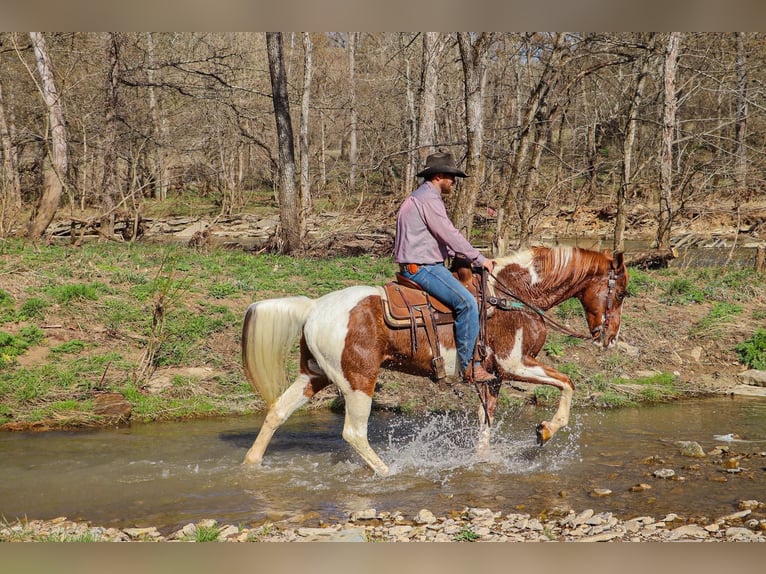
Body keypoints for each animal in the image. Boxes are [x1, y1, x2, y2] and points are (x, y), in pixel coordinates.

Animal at [242, 248, 632, 476]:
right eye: (622, 293)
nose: (609, 338)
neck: (515, 296)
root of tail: (313, 307)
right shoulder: (516, 364)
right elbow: (568, 383)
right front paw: (546, 430)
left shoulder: (492, 377)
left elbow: (485, 425)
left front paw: (482, 460)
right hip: (359, 380)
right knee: (353, 432)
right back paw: (388, 471)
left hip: (314, 375)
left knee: (277, 411)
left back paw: (251, 462)